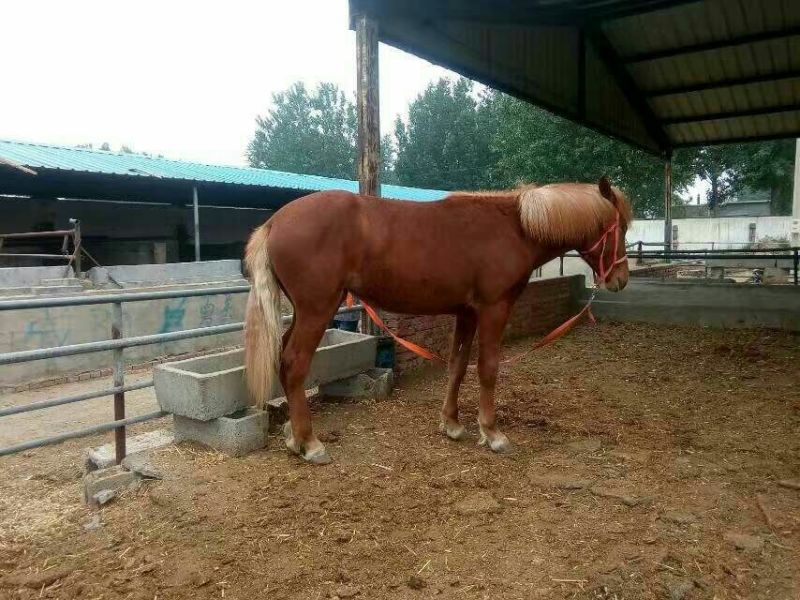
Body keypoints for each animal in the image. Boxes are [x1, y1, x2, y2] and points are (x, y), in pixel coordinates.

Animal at [244, 177, 632, 464]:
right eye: (618, 228)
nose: (621, 280)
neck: (514, 229)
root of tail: (274, 222)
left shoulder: (467, 312)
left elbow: (458, 366)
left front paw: (452, 424)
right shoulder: (493, 310)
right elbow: (487, 368)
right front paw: (492, 433)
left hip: (304, 311)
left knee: (284, 359)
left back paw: (293, 436)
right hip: (318, 309)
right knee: (295, 363)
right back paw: (310, 443)